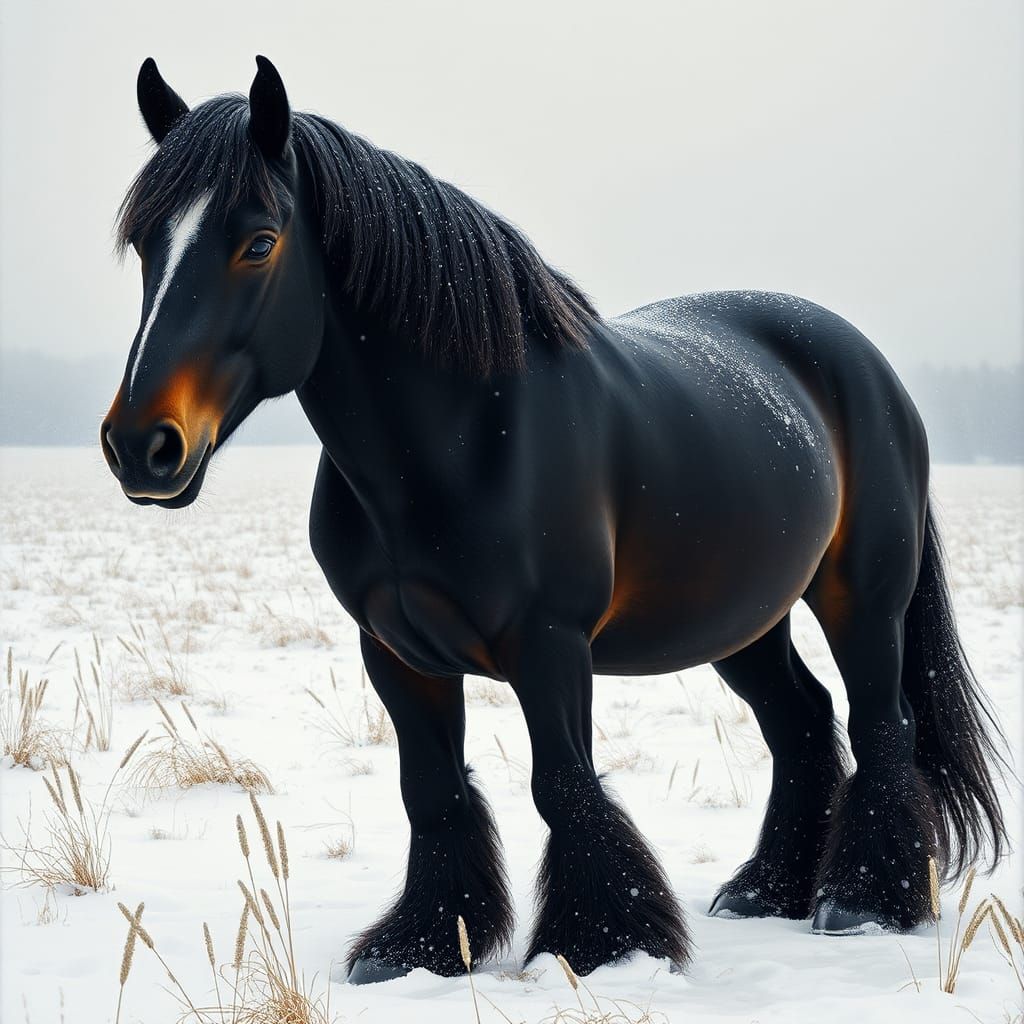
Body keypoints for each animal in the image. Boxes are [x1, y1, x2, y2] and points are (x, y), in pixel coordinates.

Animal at [101, 56, 1007, 984]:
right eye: (145, 244)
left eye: (258, 241)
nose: (142, 446)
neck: (461, 441)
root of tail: (863, 360)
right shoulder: (395, 652)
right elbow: (431, 791)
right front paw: (419, 947)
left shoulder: (551, 644)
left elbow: (563, 784)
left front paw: (601, 946)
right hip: (742, 618)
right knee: (803, 722)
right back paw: (766, 890)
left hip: (863, 597)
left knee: (881, 721)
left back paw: (863, 903)